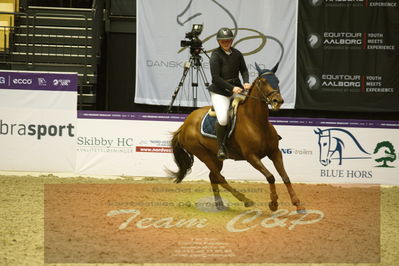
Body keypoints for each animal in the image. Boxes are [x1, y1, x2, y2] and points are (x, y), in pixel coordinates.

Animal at [167, 64, 304, 212]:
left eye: (277, 80)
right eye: (263, 82)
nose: (277, 101)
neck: (256, 121)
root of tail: (184, 125)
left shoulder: (275, 152)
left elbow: (285, 177)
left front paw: (298, 204)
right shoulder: (251, 156)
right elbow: (270, 176)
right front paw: (273, 203)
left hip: (215, 157)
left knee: (213, 177)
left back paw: (220, 204)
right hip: (203, 154)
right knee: (220, 178)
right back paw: (245, 200)